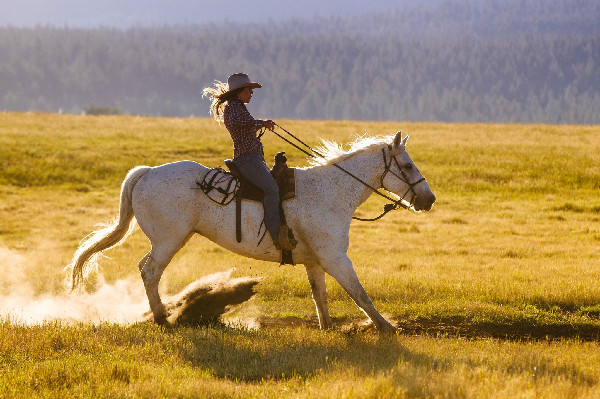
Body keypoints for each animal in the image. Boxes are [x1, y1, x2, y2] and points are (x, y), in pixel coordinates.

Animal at [69, 130, 436, 332]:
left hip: (171, 239)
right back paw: (162, 318)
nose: (429, 199)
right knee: (150, 272)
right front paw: (387, 327)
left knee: (145, 268)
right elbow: (359, 294)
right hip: (168, 241)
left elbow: (320, 297)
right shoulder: (335, 257)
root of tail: (146, 172)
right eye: (407, 165)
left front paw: (328, 329)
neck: (331, 191)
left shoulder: (315, 261)